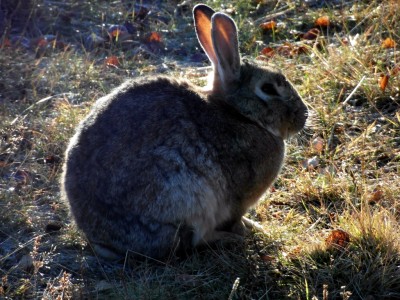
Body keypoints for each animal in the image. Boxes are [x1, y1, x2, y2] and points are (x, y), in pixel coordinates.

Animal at [61, 2, 308, 260]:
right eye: (268, 89)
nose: (303, 116)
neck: (239, 113)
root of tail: (101, 241)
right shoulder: (238, 198)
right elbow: (235, 217)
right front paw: (246, 229)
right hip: (181, 198)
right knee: (189, 242)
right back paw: (227, 238)